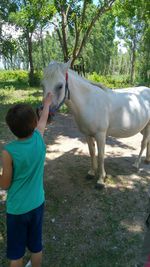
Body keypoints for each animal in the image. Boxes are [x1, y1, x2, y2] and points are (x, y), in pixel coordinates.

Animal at [41, 61, 150, 189]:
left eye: (60, 86)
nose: (46, 115)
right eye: (42, 85)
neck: (89, 102)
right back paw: (147, 160)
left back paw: (136, 164)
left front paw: (101, 180)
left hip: (147, 127)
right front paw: (92, 172)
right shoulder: (87, 134)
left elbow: (101, 155)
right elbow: (92, 152)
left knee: (143, 143)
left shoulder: (100, 135)